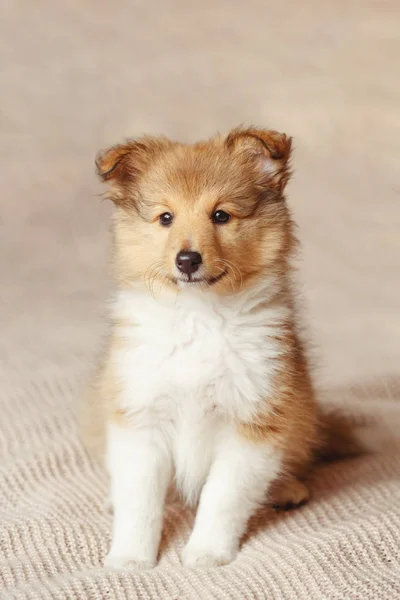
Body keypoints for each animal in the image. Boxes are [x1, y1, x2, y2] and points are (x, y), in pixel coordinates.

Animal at [83, 127, 356, 572]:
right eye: (165, 217)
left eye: (221, 216)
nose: (187, 259)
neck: (200, 318)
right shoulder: (140, 415)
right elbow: (140, 499)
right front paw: (130, 557)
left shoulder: (254, 422)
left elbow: (223, 496)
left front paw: (207, 552)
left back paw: (287, 488)